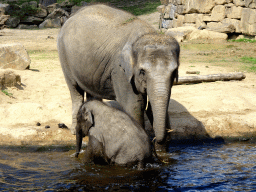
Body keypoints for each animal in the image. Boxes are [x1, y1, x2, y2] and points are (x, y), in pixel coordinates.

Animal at [57, 4, 180, 146]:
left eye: (174, 71)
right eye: (142, 71)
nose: (158, 140)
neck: (148, 33)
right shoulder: (120, 71)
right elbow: (135, 105)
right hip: (64, 56)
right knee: (75, 90)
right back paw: (75, 130)